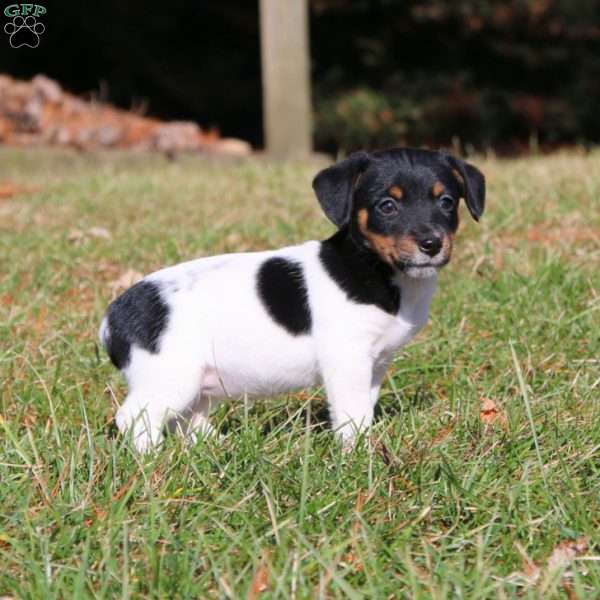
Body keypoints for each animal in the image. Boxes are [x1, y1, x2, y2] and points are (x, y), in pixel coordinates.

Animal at [98, 149, 482, 450]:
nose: (431, 244)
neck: (373, 267)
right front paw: (359, 455)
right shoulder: (347, 360)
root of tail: (112, 317)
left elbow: (365, 407)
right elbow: (351, 414)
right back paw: (152, 460)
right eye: (387, 206)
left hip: (195, 384)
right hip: (170, 376)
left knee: (186, 420)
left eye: (447, 202)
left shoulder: (375, 363)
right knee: (135, 418)